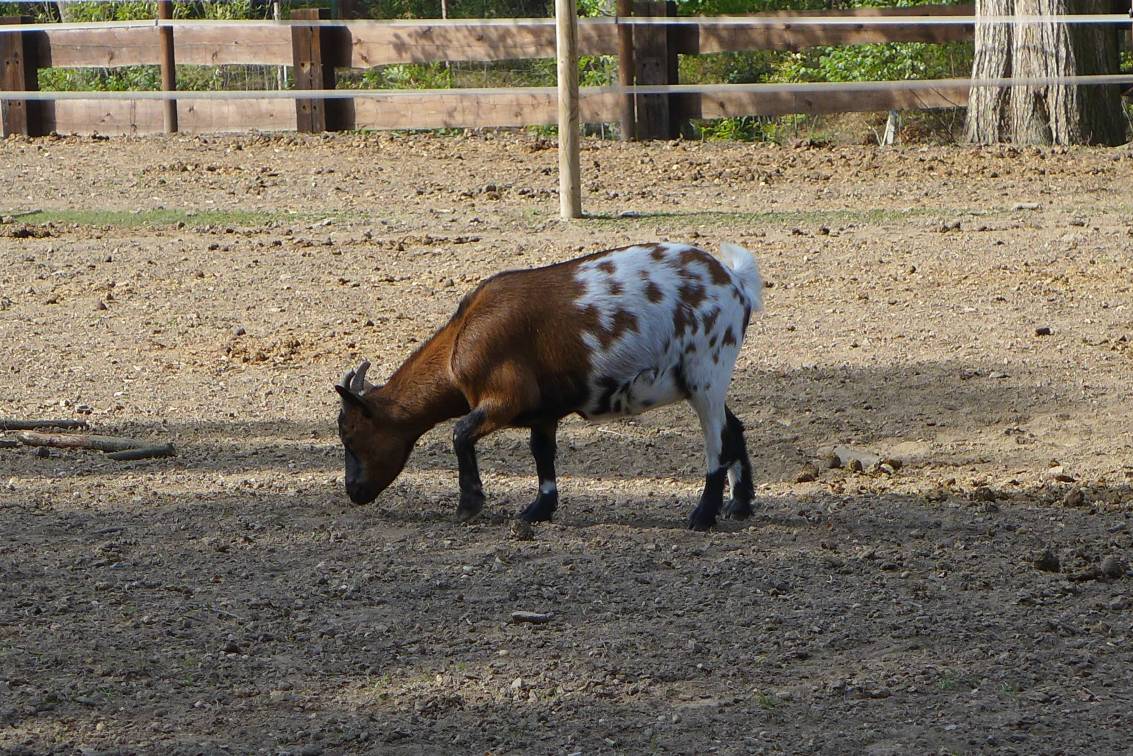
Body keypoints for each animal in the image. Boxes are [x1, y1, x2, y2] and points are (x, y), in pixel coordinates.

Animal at [333, 242, 761, 532]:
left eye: (351, 436)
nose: (353, 491)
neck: (461, 341)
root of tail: (734, 283)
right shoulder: (542, 410)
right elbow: (542, 454)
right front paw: (539, 509)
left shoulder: (505, 398)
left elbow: (460, 432)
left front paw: (469, 503)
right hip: (698, 380)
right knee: (733, 426)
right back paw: (739, 505)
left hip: (707, 371)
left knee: (716, 441)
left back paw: (703, 515)